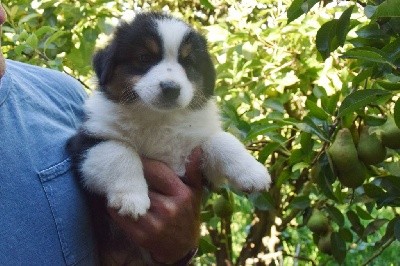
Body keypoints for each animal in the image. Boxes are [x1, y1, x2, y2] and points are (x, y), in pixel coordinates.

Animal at [67, 10, 272, 262]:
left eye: (188, 62)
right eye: (144, 57)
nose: (171, 88)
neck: (159, 118)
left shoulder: (200, 168)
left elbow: (220, 140)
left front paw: (253, 173)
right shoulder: (86, 143)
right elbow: (120, 151)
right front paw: (132, 198)